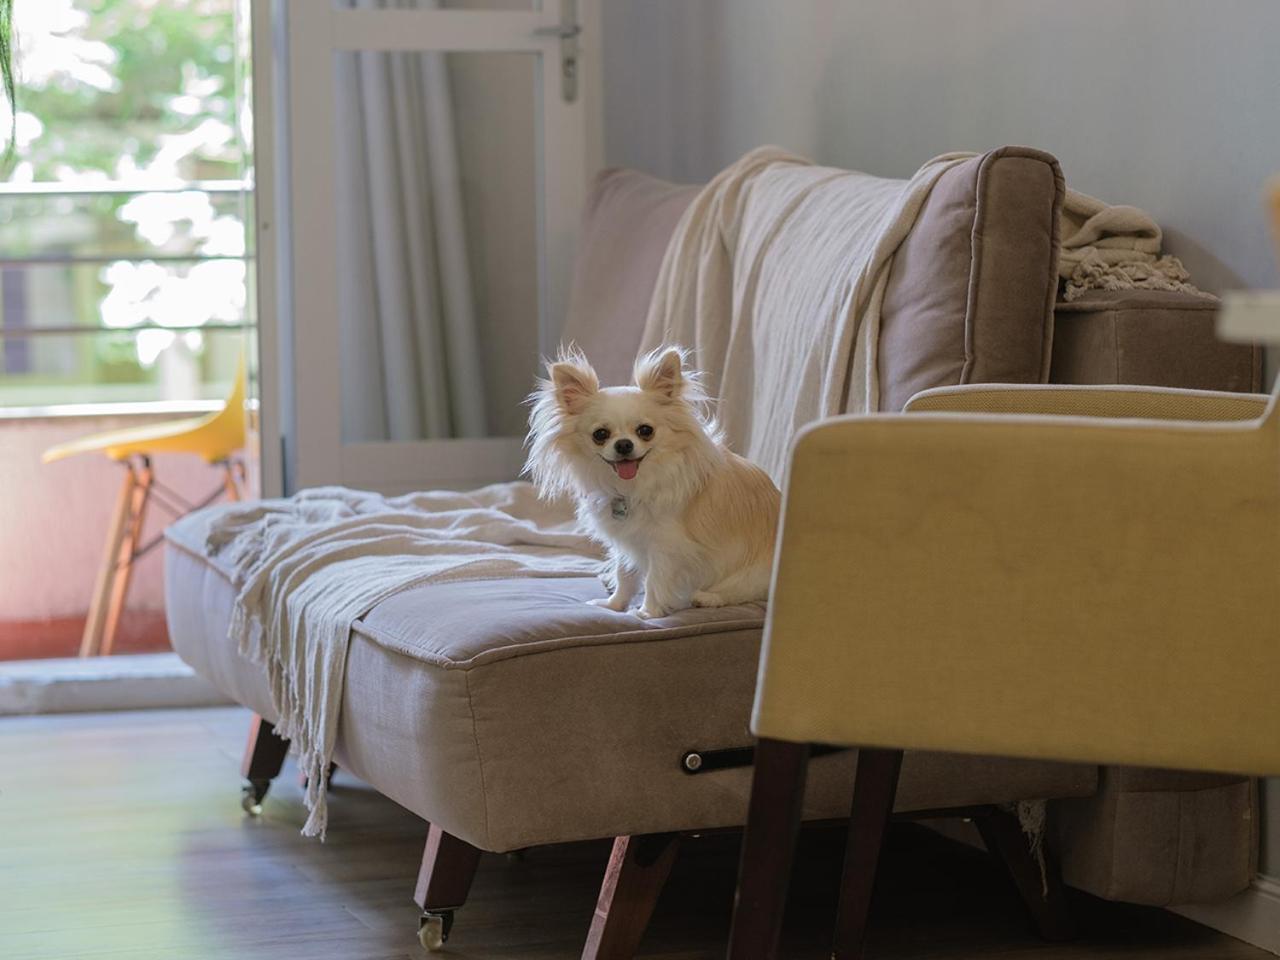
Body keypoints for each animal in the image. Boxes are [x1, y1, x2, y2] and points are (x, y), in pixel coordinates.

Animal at [526, 346, 781, 619]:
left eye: (645, 431)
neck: (633, 486)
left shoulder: (666, 545)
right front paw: (614, 605)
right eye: (600, 435)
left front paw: (646, 613)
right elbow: (624, 574)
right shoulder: (628, 539)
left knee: (744, 590)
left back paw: (707, 598)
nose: (623, 444)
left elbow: (654, 580)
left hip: (755, 573)